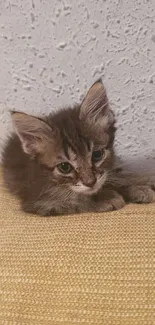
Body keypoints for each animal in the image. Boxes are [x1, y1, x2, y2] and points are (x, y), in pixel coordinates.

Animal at [1, 79, 155, 214]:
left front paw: (136, 187)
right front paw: (106, 198)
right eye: (64, 167)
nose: (90, 182)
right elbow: (76, 198)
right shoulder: (41, 202)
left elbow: (113, 178)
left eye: (97, 155)